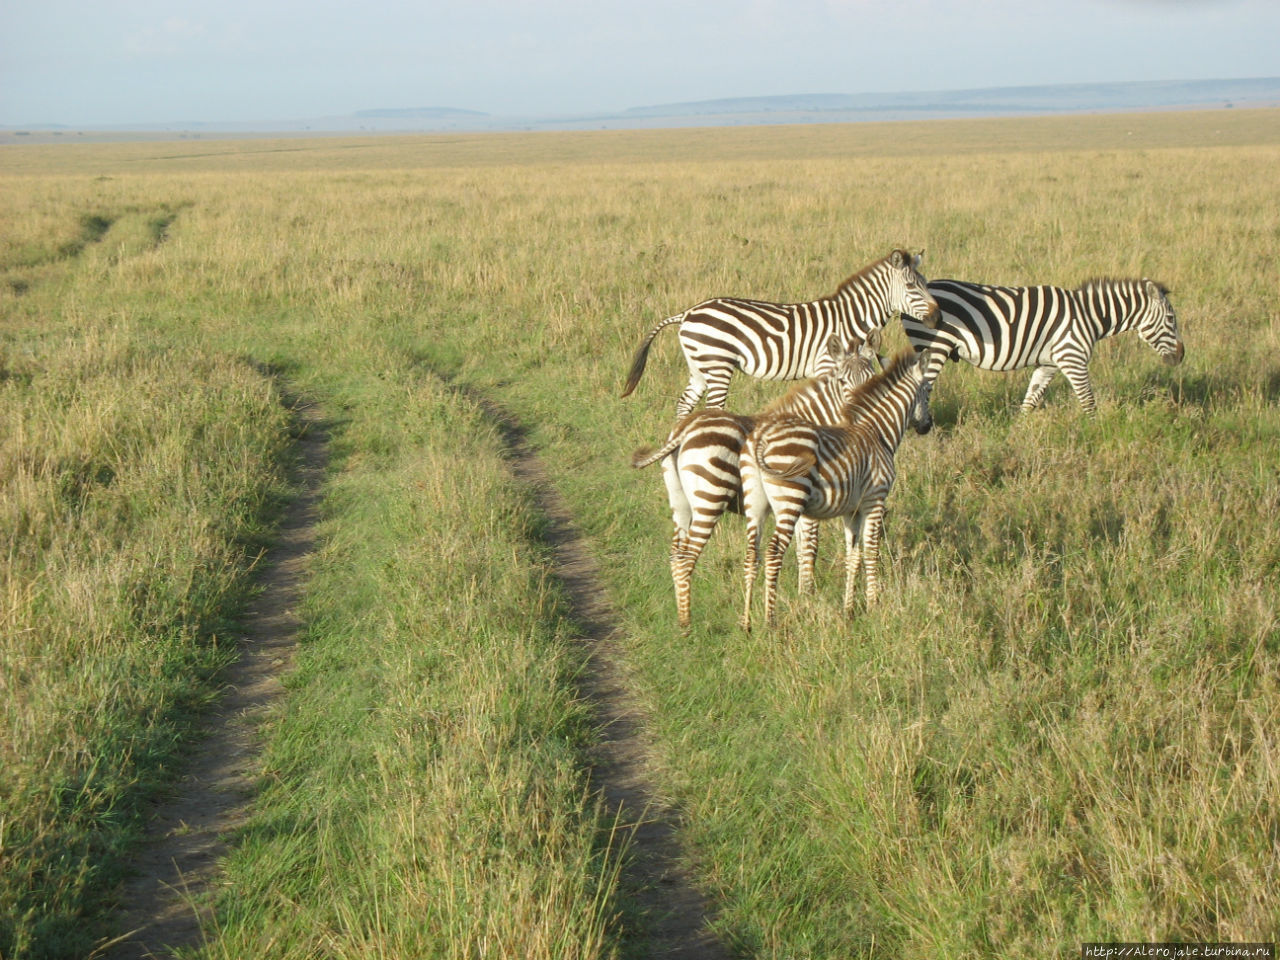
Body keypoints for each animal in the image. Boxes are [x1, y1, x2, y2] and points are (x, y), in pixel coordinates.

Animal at [622, 248, 942, 417]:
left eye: (924, 282)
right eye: (912, 286)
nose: (938, 318)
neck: (850, 317)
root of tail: (687, 313)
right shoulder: (827, 366)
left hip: (700, 366)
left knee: (683, 405)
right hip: (717, 364)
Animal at [629, 335, 880, 632]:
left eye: (871, 377)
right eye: (842, 382)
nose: (861, 414)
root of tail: (683, 431)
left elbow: (799, 549)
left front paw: (801, 595)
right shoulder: (805, 499)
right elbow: (810, 547)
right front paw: (807, 594)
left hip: (680, 501)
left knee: (675, 554)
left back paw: (682, 616)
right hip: (710, 494)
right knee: (686, 557)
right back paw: (687, 624)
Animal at [737, 350, 936, 634]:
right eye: (928, 390)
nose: (927, 425)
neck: (878, 432)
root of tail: (760, 438)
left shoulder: (851, 511)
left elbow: (853, 556)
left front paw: (849, 609)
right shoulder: (875, 500)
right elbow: (871, 552)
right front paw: (874, 605)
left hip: (756, 503)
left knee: (752, 553)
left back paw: (746, 623)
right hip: (789, 501)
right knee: (774, 553)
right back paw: (769, 620)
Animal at [901, 276, 1187, 430]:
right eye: (1171, 319)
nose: (1181, 357)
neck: (1089, 316)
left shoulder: (1049, 364)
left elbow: (1031, 399)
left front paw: (1018, 433)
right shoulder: (1072, 357)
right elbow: (1088, 401)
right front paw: (1098, 431)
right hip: (935, 347)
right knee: (921, 390)